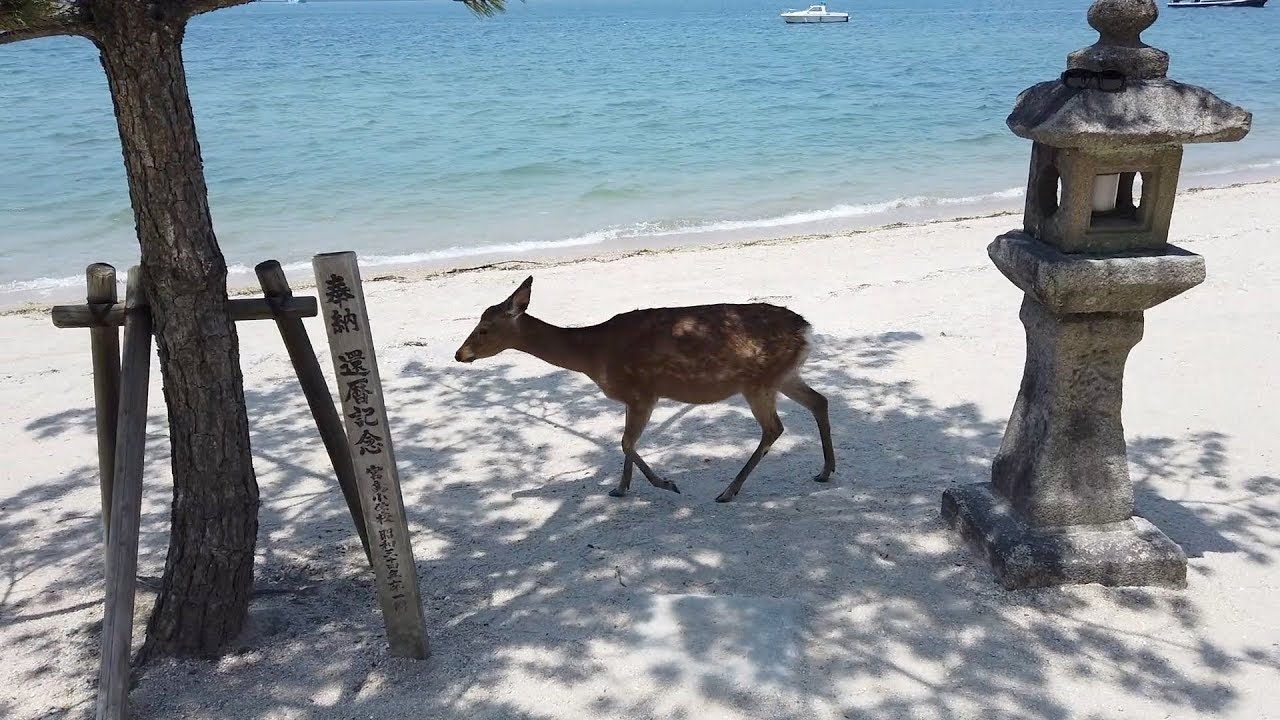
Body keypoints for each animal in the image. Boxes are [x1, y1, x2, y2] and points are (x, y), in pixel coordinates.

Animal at [453, 276, 836, 503]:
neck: (594, 354)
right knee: (819, 401)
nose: (459, 354)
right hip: (783, 375)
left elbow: (626, 443)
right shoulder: (630, 397)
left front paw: (665, 483)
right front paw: (620, 488)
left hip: (758, 380)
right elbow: (626, 442)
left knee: (774, 427)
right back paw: (825, 470)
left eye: (484, 328)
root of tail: (806, 330)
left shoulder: (643, 391)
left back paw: (729, 490)